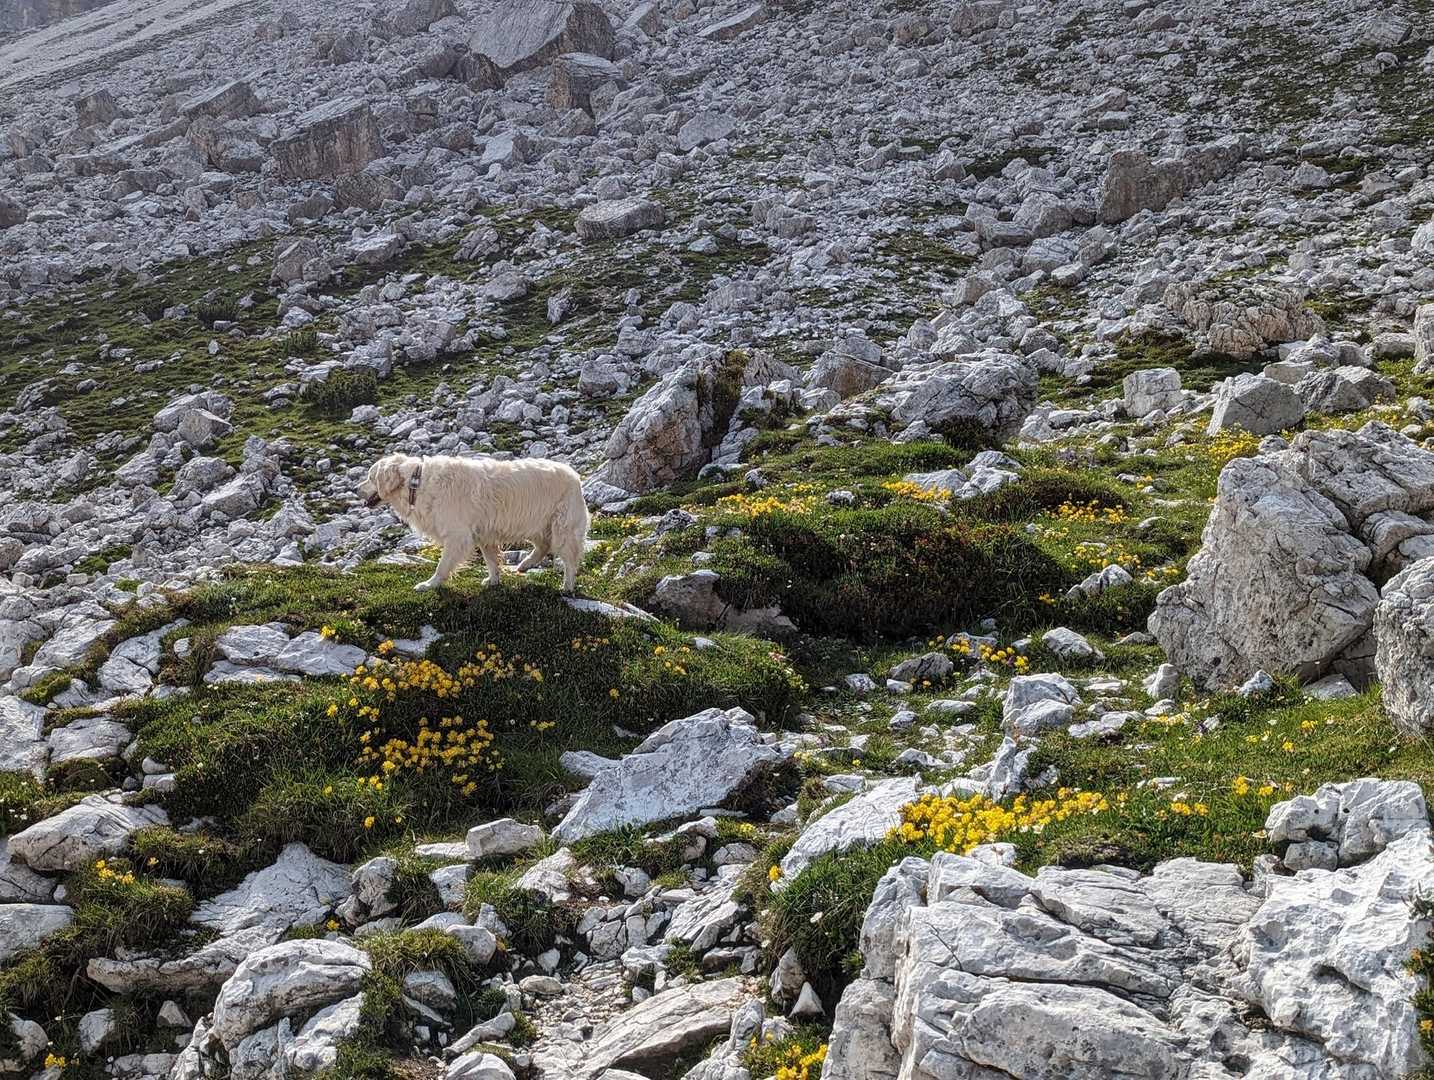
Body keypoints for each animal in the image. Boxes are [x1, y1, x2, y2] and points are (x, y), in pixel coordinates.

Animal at [358, 453, 590, 593]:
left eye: (370, 477)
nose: (356, 489)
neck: (417, 483)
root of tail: (575, 476)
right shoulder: (484, 533)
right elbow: (491, 560)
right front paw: (493, 580)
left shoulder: (457, 535)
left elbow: (442, 566)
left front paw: (429, 584)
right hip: (534, 523)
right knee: (543, 546)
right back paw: (525, 564)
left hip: (562, 527)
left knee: (569, 559)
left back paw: (567, 586)